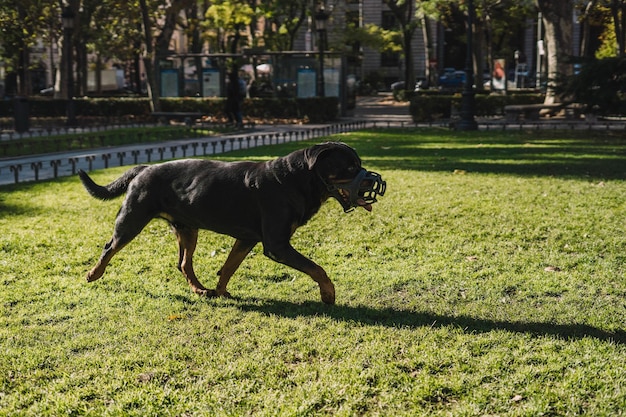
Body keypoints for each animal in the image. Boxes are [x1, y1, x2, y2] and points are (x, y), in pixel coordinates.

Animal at [78, 141, 380, 304]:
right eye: (350, 167)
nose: (370, 180)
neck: (297, 180)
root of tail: (144, 167)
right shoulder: (277, 245)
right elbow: (317, 268)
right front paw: (328, 294)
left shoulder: (247, 238)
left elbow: (229, 267)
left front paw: (221, 291)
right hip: (132, 218)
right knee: (109, 247)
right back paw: (93, 274)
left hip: (188, 228)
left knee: (184, 263)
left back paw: (199, 289)